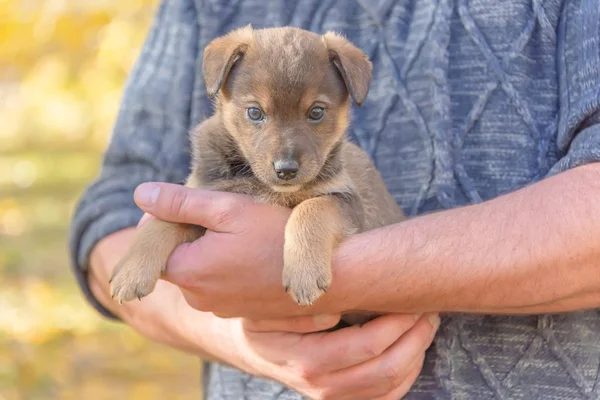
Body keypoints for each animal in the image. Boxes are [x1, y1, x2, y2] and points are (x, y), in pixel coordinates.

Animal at [110, 25, 406, 312]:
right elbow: (163, 221)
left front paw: (304, 274)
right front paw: (131, 270)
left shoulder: (346, 200)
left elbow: (311, 209)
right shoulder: (203, 195)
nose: (286, 170)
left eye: (316, 112)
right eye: (254, 112)